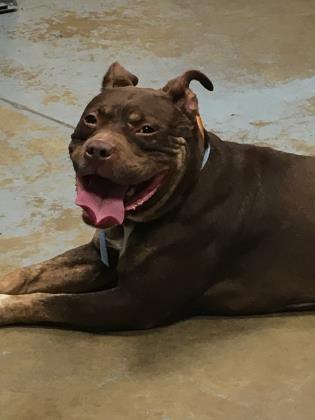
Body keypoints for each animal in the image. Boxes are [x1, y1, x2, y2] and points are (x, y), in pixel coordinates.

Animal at [0, 63, 315, 332]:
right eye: (90, 119)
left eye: (146, 129)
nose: (98, 149)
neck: (188, 186)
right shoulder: (102, 257)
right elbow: (29, 272)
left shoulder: (133, 303)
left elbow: (52, 302)